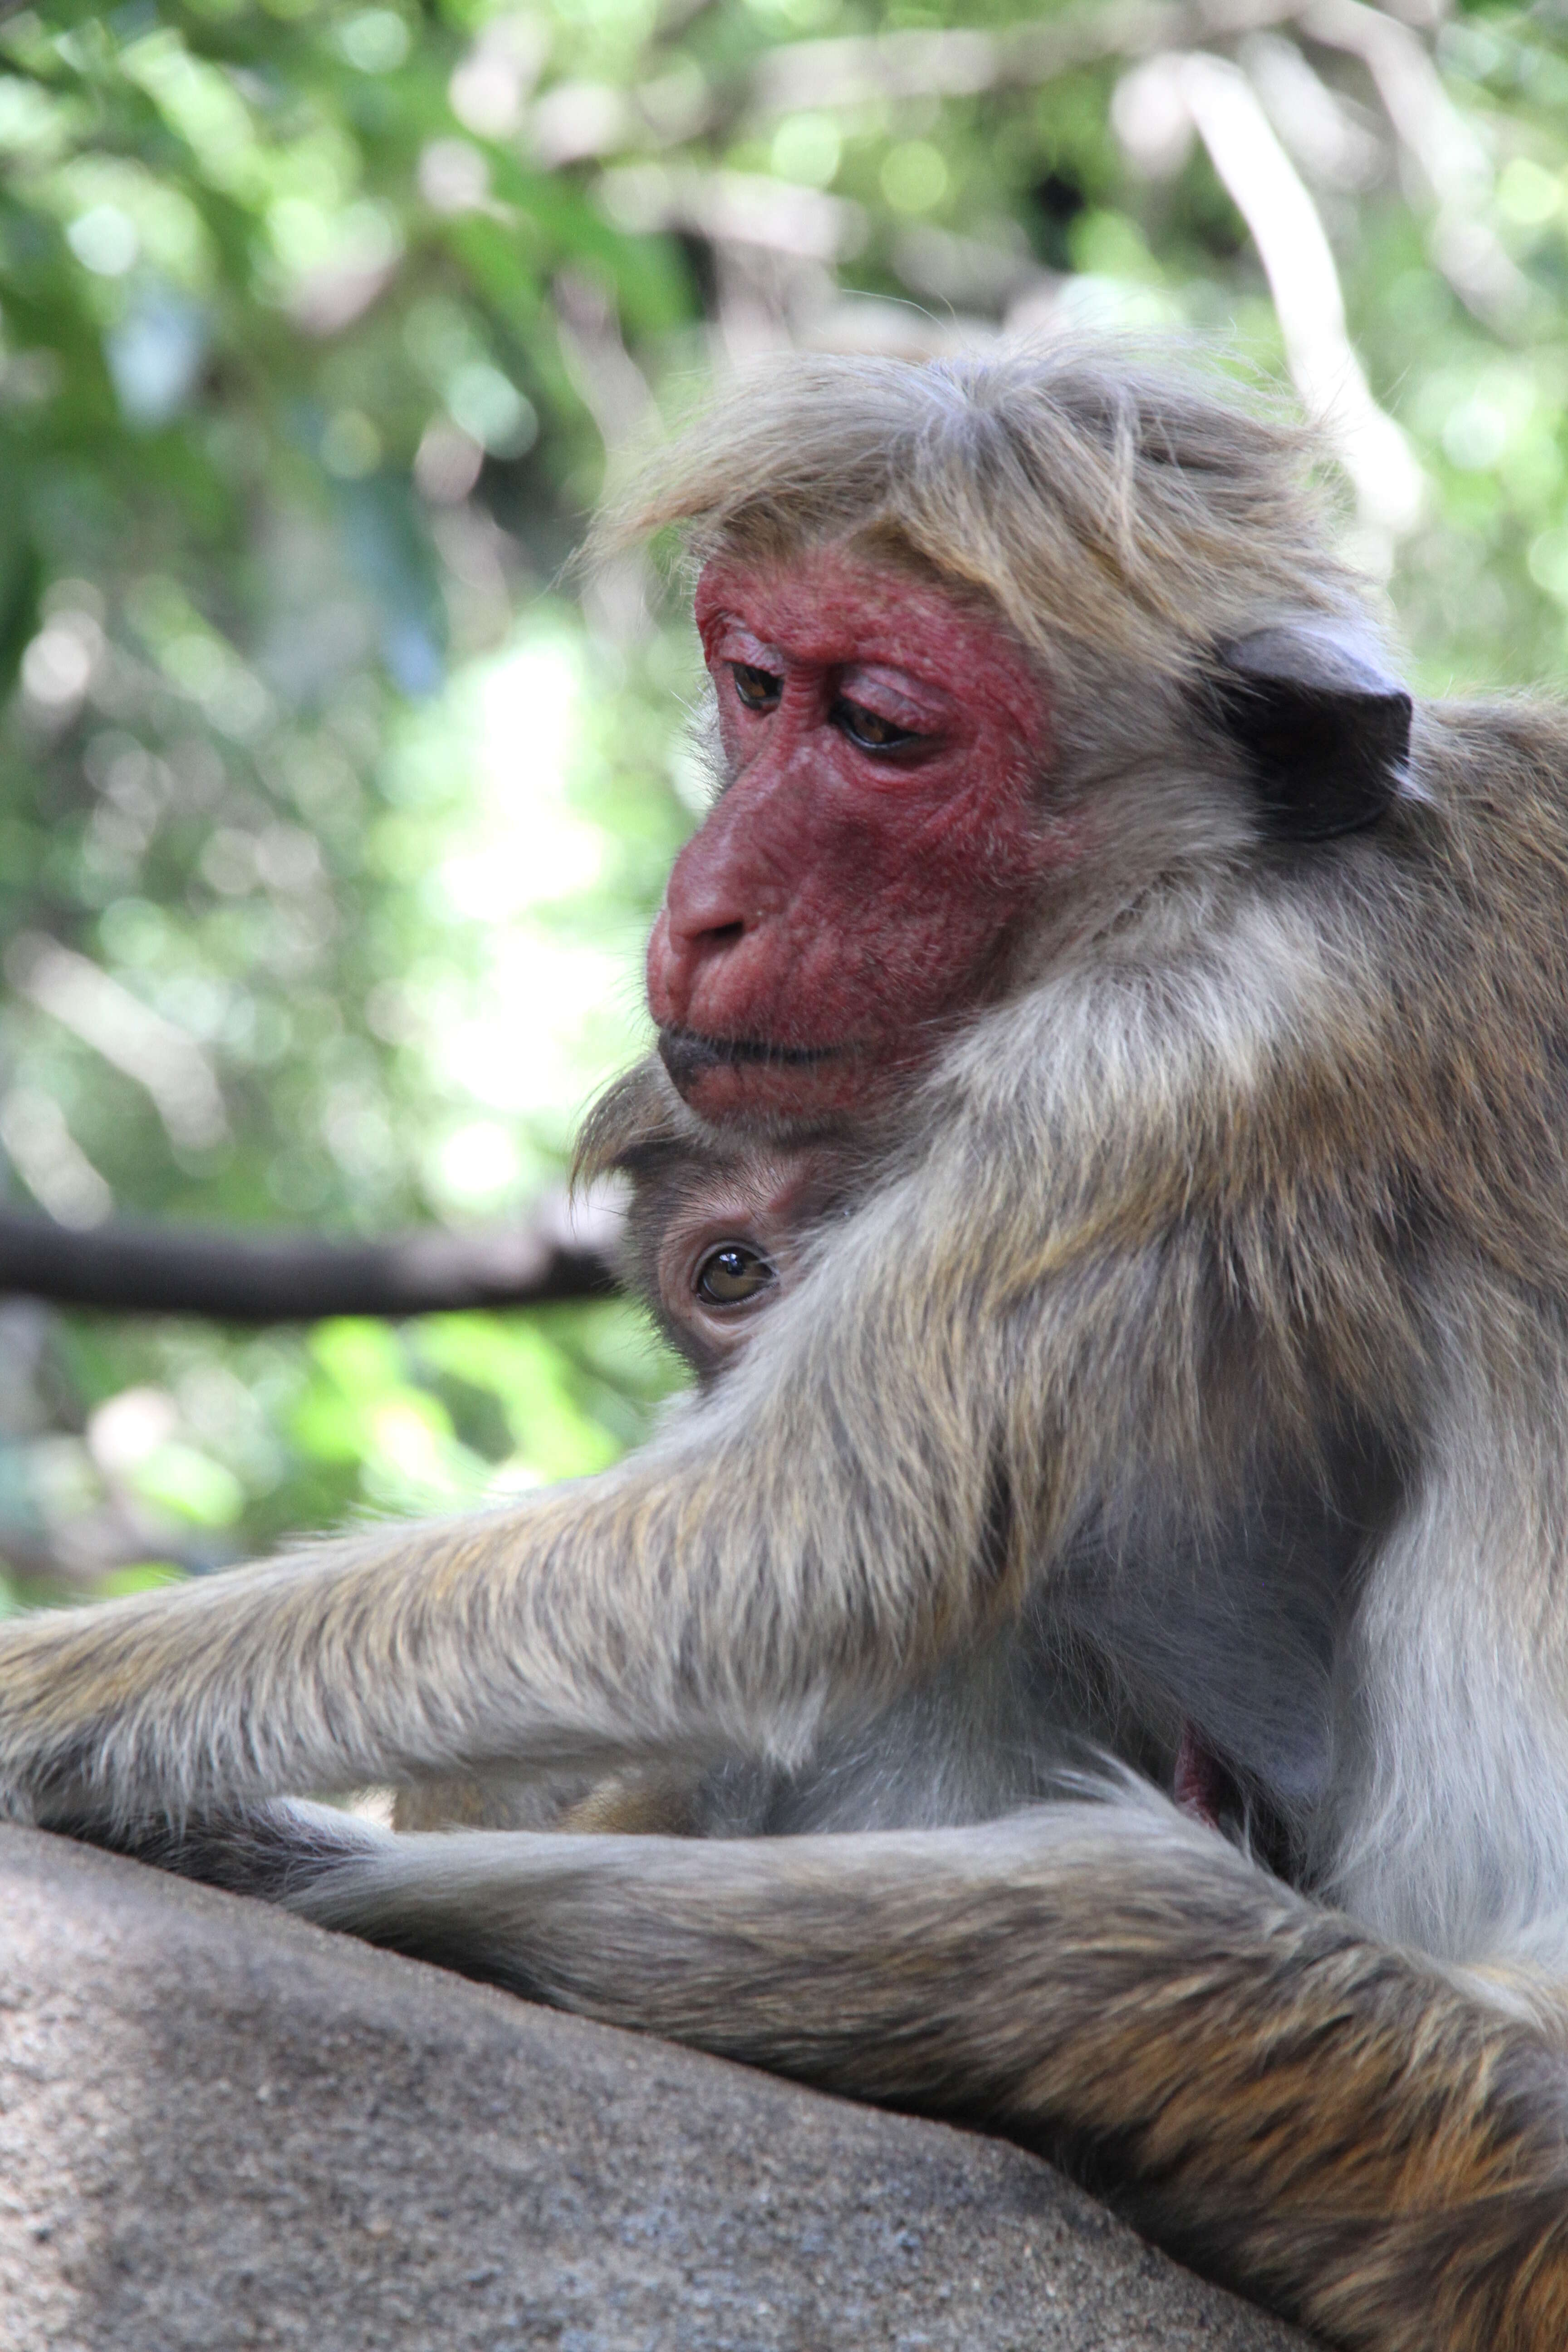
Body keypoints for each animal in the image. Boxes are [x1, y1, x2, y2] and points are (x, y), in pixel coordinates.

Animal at [3, 341, 1568, 2342]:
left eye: (886, 729)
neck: (1219, 873)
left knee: (1110, 1922)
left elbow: (797, 1540)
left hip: (1473, 2147)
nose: (701, 907)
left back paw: (335, 1869)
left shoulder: (1198, 1053)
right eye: (754, 685)